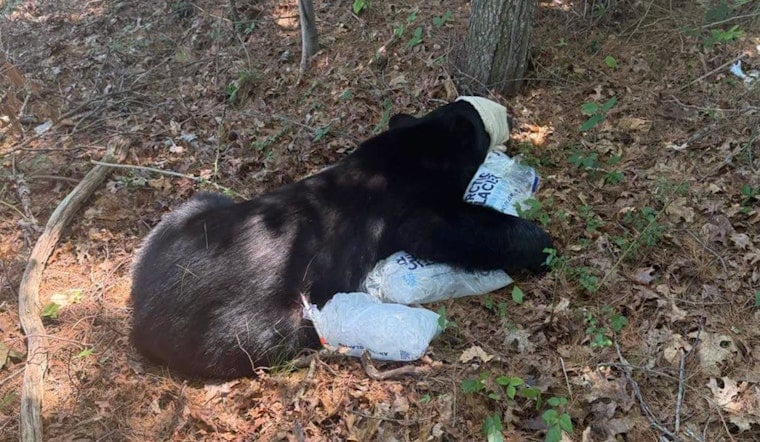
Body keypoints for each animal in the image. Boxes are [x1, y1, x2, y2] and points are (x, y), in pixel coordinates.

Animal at [130, 99, 553, 379]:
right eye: (481, 125)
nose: (505, 114)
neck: (413, 148)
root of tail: (140, 315)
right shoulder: (415, 207)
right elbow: (457, 229)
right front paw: (543, 245)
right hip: (240, 324)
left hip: (189, 212)